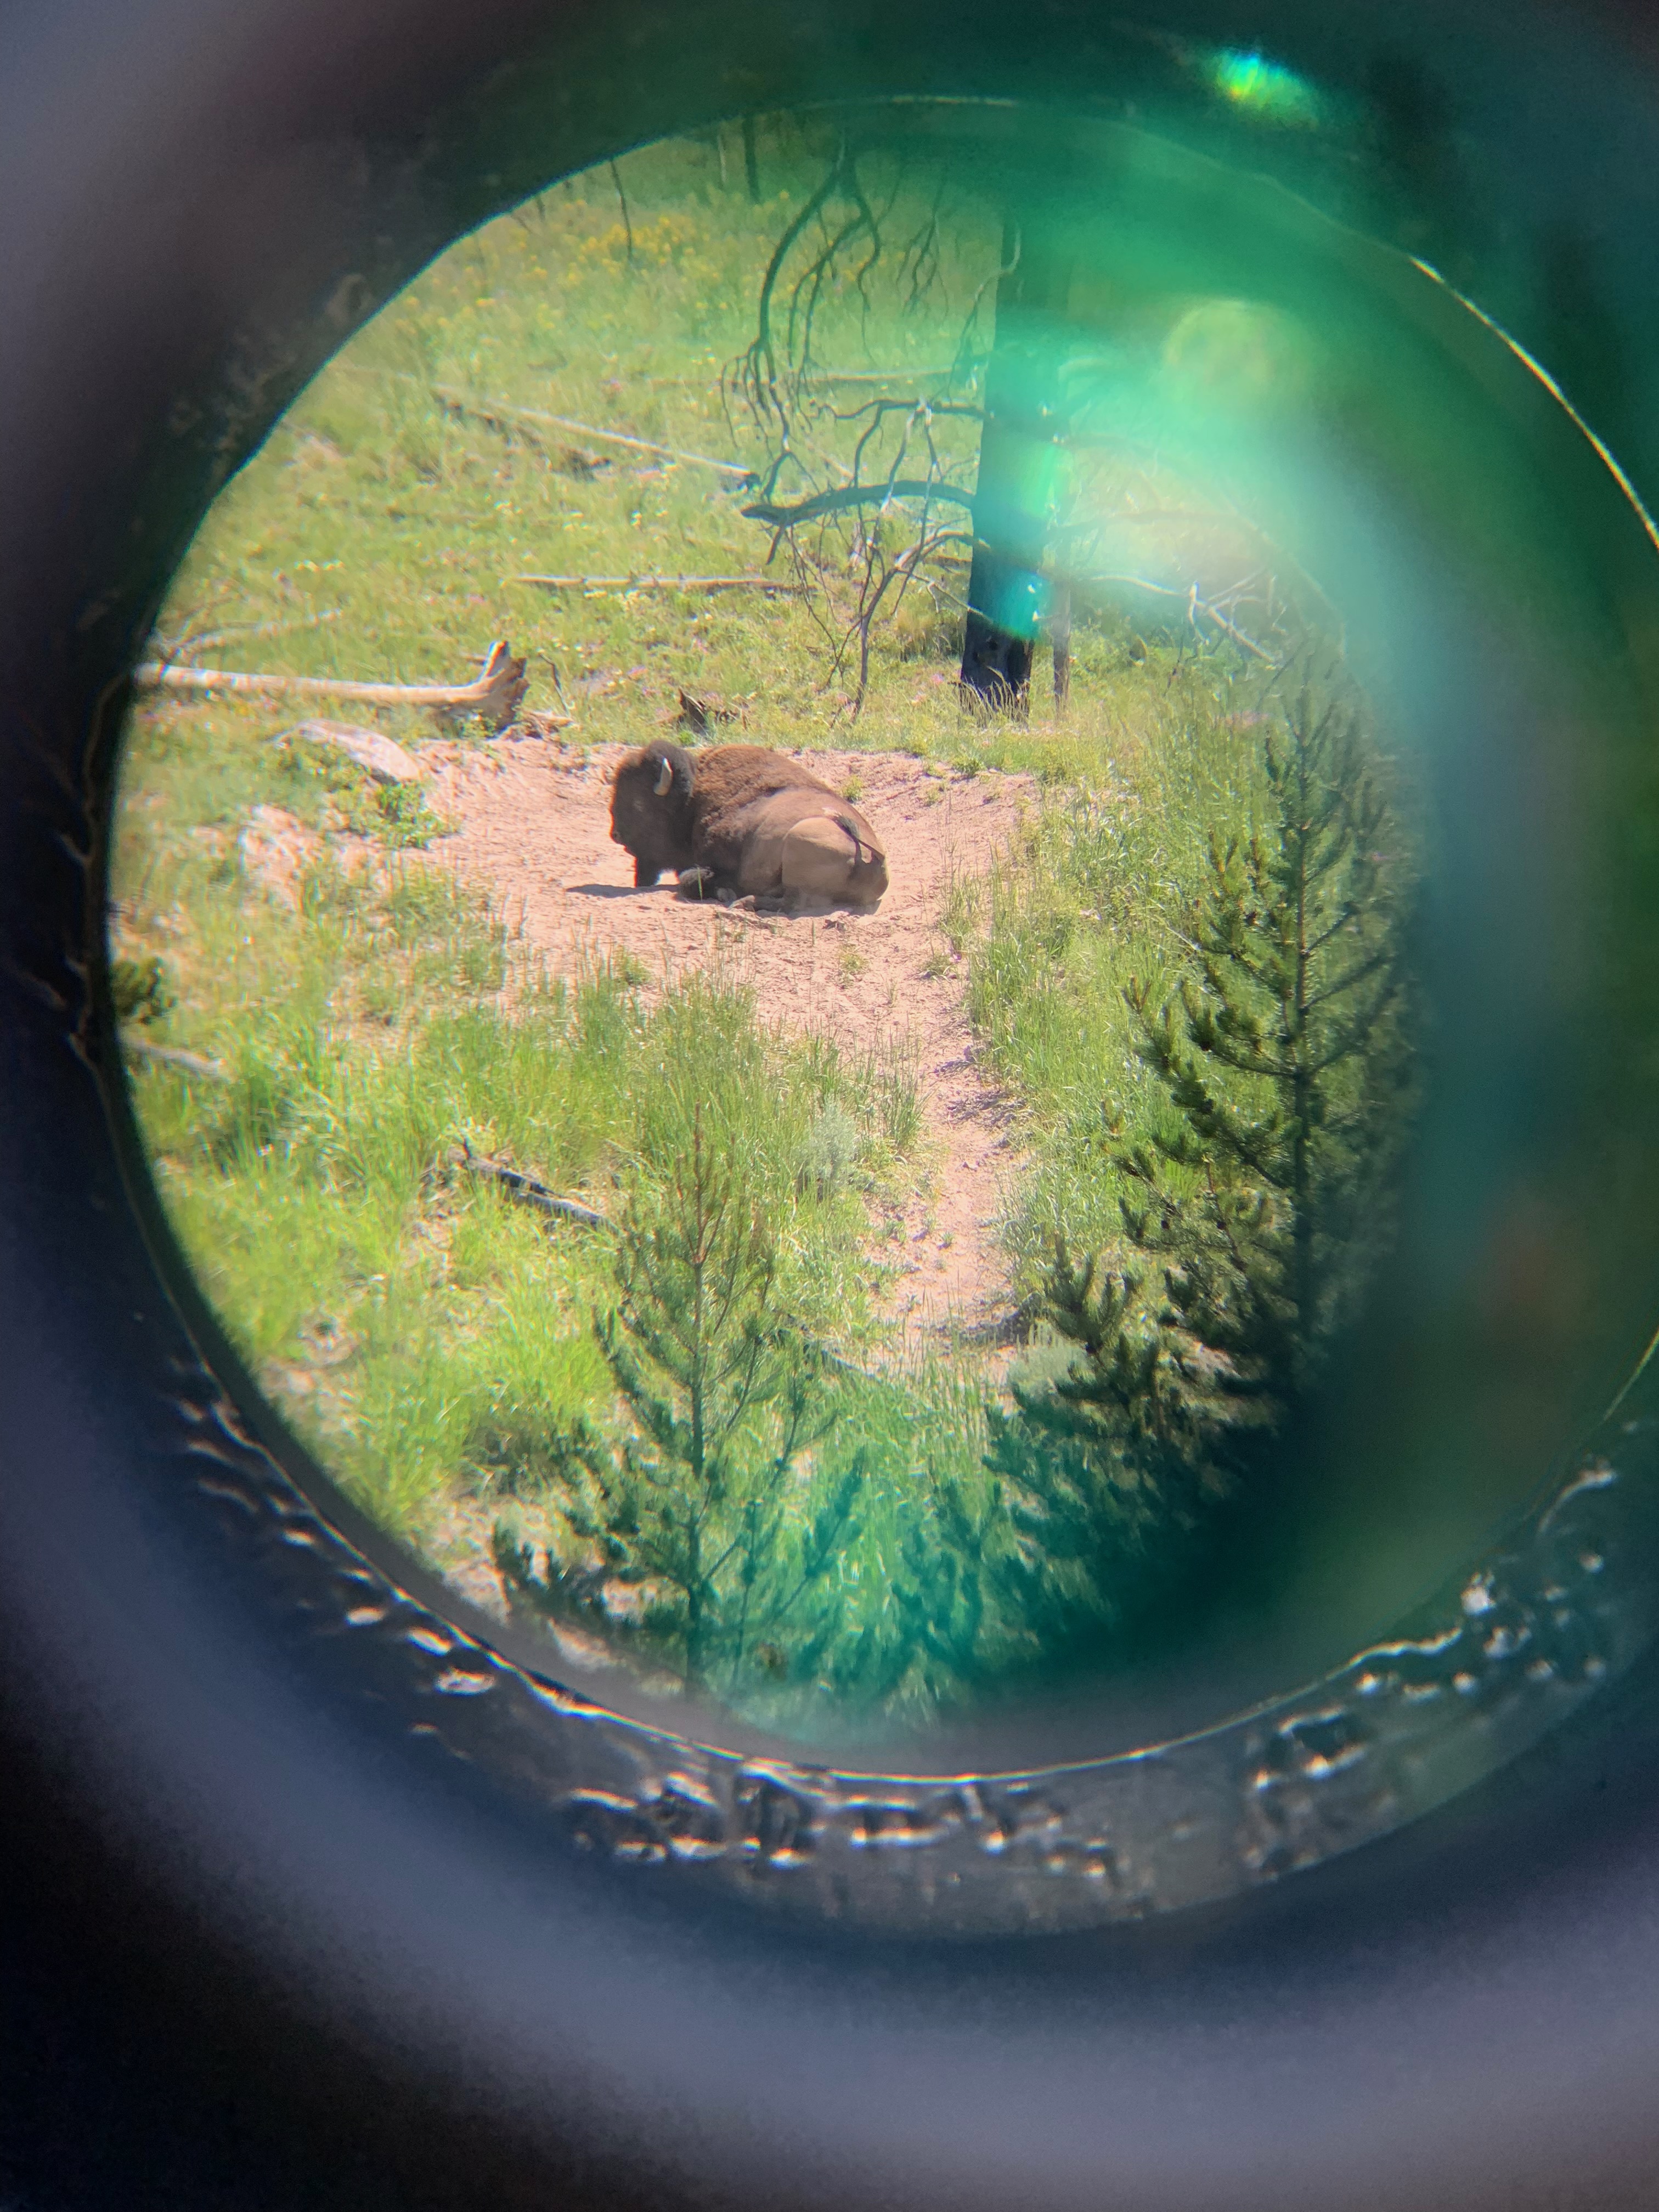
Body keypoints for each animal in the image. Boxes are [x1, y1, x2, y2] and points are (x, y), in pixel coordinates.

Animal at [610, 743, 889, 916]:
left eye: (638, 803)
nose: (616, 835)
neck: (693, 798)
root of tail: (874, 860)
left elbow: (693, 880)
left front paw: (724, 892)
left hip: (799, 841)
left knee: (794, 902)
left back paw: (743, 903)